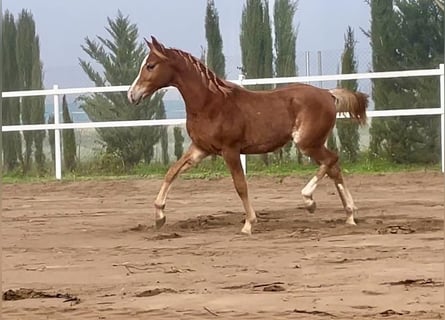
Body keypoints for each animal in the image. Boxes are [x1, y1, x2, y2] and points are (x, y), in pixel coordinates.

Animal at [126, 36, 366, 235]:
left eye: (150, 65)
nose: (132, 95)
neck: (210, 104)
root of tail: (328, 94)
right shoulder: (200, 148)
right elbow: (172, 172)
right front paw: (159, 217)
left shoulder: (230, 150)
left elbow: (240, 185)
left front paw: (249, 224)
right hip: (313, 144)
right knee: (334, 168)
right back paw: (349, 214)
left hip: (307, 143)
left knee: (332, 160)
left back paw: (310, 201)